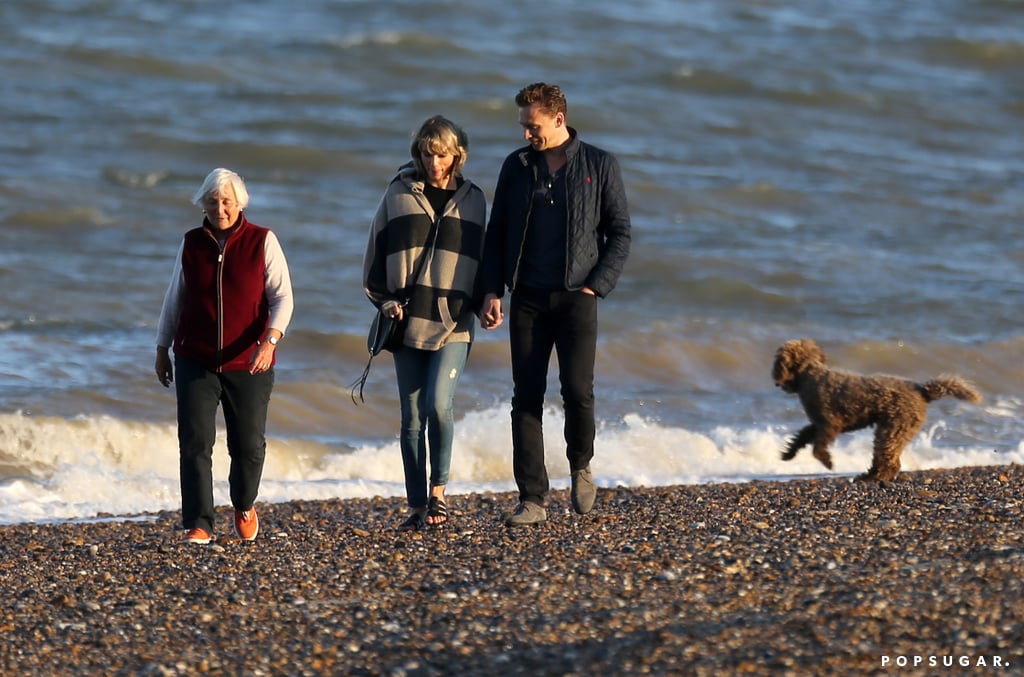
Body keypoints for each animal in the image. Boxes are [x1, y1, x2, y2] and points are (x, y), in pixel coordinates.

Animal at [770, 337, 978, 481]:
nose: (776, 380)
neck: (810, 373)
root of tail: (923, 390)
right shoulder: (817, 423)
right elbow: (802, 436)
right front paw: (788, 453)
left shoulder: (829, 423)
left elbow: (818, 446)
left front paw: (827, 461)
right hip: (894, 429)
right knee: (888, 460)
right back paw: (868, 476)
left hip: (893, 428)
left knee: (890, 461)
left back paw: (873, 478)